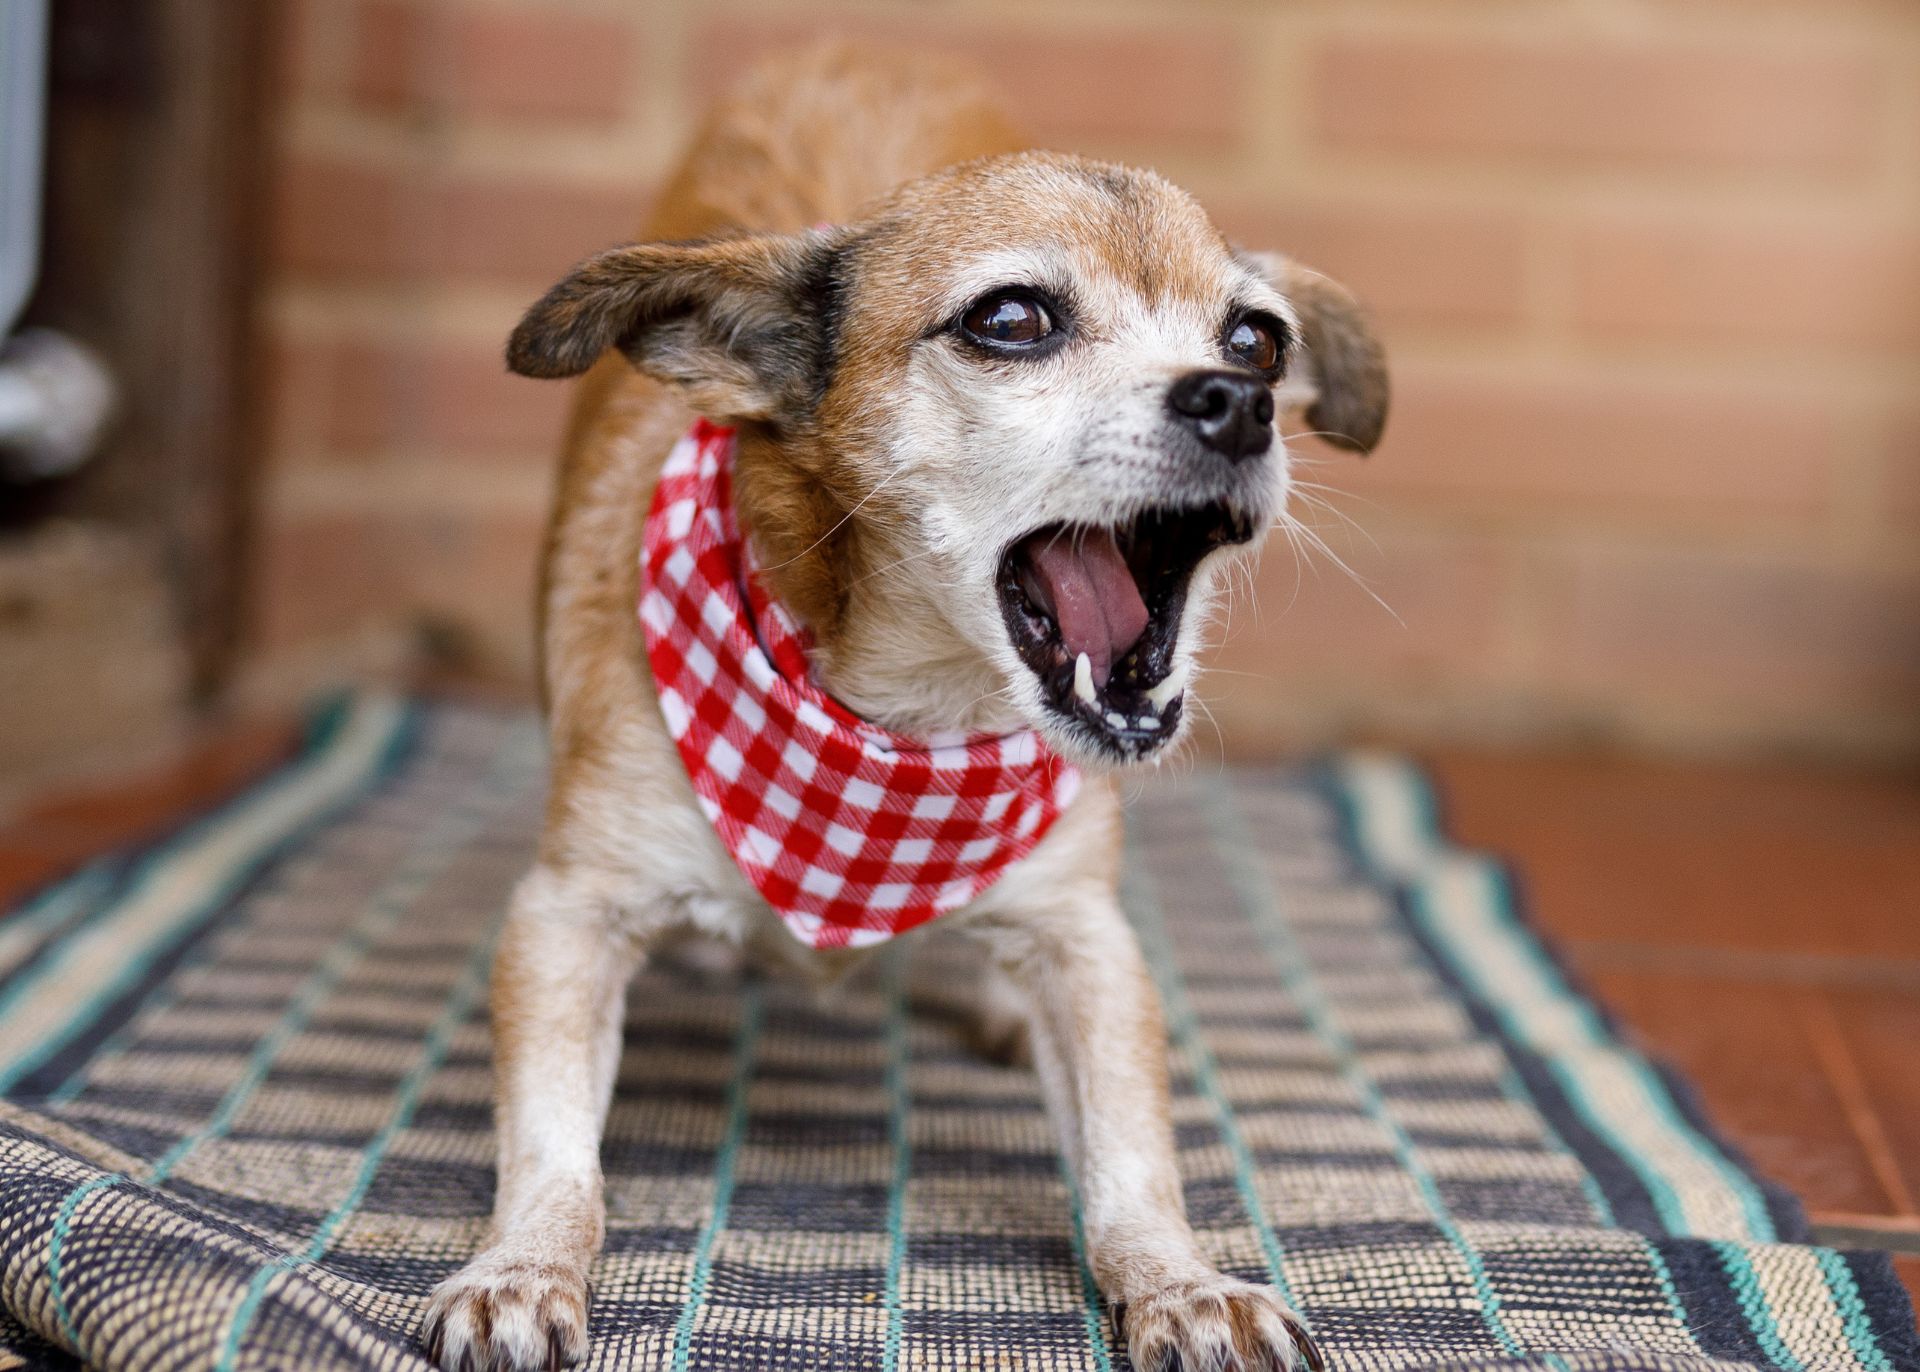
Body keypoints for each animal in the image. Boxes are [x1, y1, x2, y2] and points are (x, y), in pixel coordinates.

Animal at [424, 42, 1382, 1372]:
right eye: (1013, 320)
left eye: (1260, 341)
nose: (1238, 402)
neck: (905, 726)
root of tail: (867, 48)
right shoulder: (569, 913)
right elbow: (553, 1146)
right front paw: (521, 1264)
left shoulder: (1085, 939)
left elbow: (1134, 1151)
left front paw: (1179, 1280)